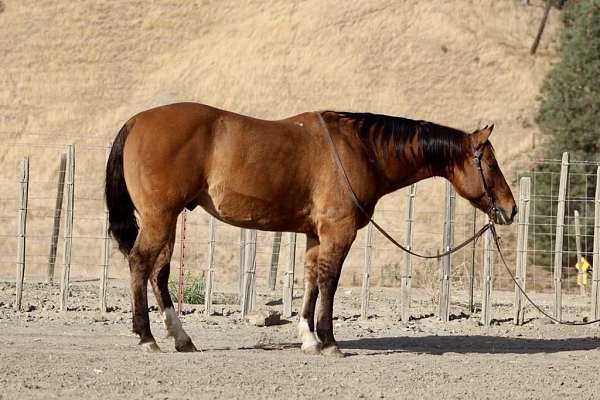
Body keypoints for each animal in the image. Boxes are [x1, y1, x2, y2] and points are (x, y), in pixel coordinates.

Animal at [104, 101, 516, 354]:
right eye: (490, 164)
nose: (510, 210)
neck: (360, 149)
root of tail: (136, 122)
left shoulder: (315, 235)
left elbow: (311, 282)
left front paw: (308, 337)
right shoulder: (339, 232)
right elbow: (329, 282)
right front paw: (329, 340)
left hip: (168, 222)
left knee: (158, 273)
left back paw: (181, 337)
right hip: (160, 219)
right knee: (141, 265)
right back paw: (147, 337)